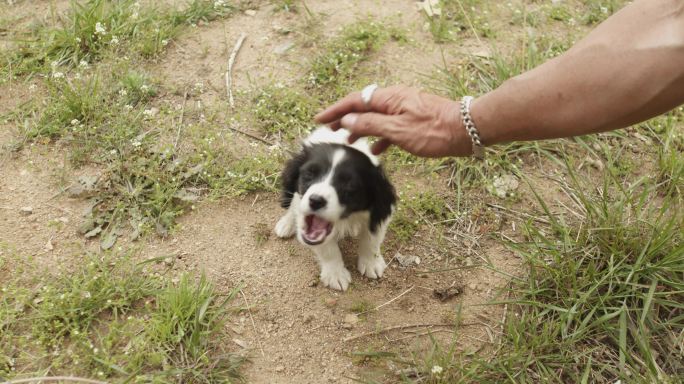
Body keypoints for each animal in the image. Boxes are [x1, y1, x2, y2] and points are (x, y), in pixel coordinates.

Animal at [276, 126, 398, 292]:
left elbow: (372, 239)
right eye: (309, 174)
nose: (316, 201)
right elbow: (328, 249)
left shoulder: (378, 214)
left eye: (349, 186)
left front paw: (371, 263)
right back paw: (286, 224)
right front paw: (335, 274)